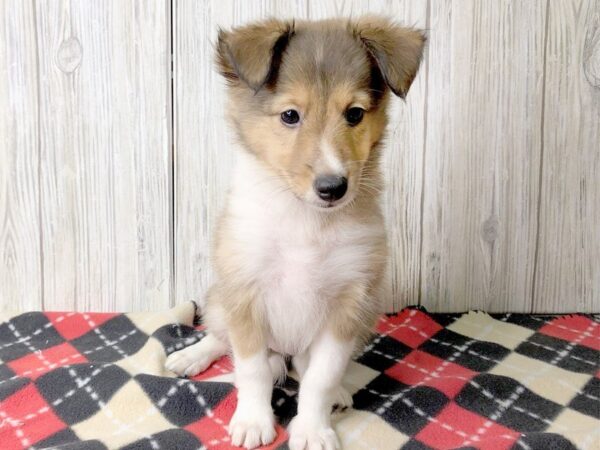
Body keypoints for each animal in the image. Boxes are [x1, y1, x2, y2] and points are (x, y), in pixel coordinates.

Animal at [166, 16, 424, 450]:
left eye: (354, 114)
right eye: (290, 115)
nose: (333, 188)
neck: (305, 221)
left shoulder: (348, 303)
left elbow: (320, 377)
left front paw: (313, 429)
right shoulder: (246, 291)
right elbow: (251, 369)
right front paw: (253, 422)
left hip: (366, 316)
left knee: (302, 365)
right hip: (222, 294)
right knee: (221, 333)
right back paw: (190, 356)